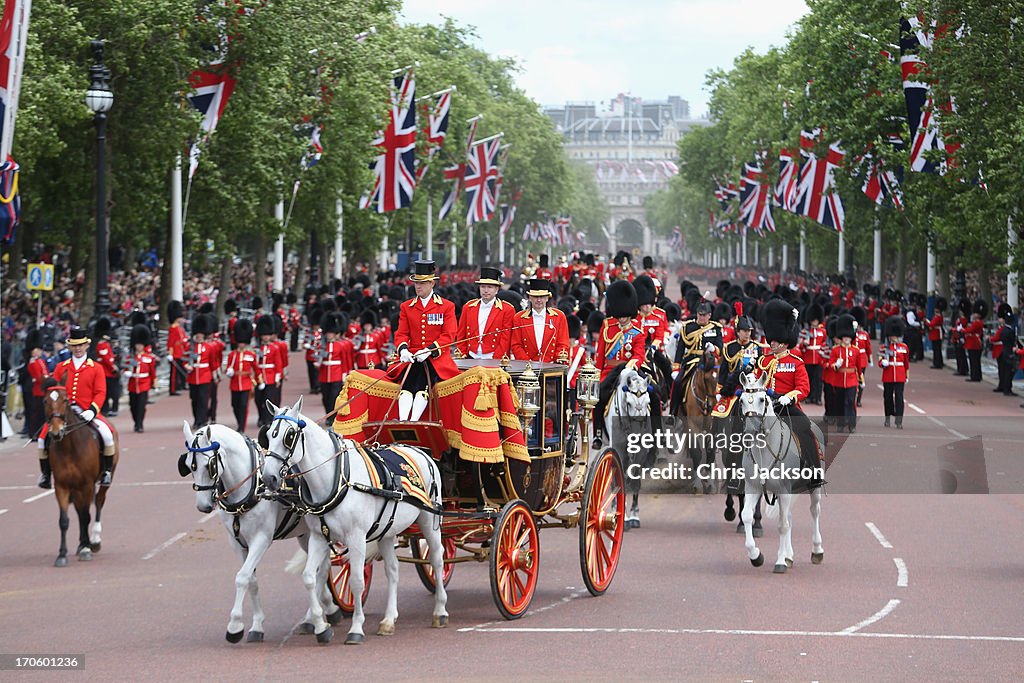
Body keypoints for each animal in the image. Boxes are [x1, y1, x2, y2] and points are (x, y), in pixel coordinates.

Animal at [41, 385, 117, 565]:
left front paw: (86, 548)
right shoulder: (61, 486)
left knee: (98, 501)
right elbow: (64, 520)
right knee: (78, 509)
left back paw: (94, 541)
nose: (56, 432)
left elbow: (85, 516)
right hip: (75, 488)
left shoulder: (87, 485)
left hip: (103, 481)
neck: (69, 447)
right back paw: (83, 542)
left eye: (65, 400)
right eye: (45, 401)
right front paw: (62, 554)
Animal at [174, 421, 337, 643]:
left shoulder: (261, 540)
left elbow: (242, 577)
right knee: (323, 567)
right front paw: (256, 626)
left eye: (210, 466)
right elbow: (251, 581)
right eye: (190, 465)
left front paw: (234, 626)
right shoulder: (237, 543)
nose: (203, 506)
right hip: (307, 535)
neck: (252, 488)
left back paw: (316, 616)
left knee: (323, 569)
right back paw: (325, 610)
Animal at [260, 397, 448, 643]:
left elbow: (357, 581)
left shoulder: (356, 537)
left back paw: (440, 611)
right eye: (268, 434)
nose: (268, 478)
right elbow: (310, 577)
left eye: (289, 435)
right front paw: (321, 627)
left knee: (436, 559)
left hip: (429, 521)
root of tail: (423, 452)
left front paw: (356, 628)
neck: (338, 479)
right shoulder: (319, 537)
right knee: (393, 570)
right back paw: (388, 620)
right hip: (387, 531)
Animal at [602, 368, 651, 528]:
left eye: (648, 402)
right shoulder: (618, 450)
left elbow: (634, 479)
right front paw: (620, 514)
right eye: (628, 403)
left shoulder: (641, 452)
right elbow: (618, 480)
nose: (637, 435)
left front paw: (634, 515)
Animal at [737, 370, 823, 573]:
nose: (750, 432)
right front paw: (756, 556)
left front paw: (780, 562)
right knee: (789, 516)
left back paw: (816, 550)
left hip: (813, 485)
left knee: (814, 511)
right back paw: (789, 555)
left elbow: (782, 525)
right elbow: (746, 516)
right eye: (742, 400)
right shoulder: (754, 487)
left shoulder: (784, 490)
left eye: (762, 399)